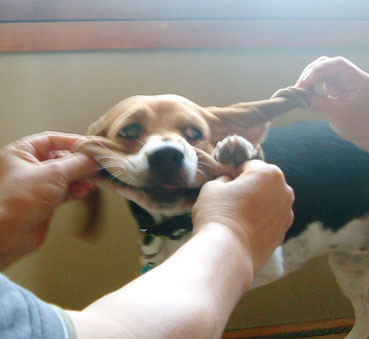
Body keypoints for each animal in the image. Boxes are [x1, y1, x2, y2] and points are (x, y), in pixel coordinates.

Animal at [75, 88, 368, 339]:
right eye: (129, 130)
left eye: (194, 132)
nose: (167, 156)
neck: (178, 224)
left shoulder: (265, 262)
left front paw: (240, 151)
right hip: (350, 267)